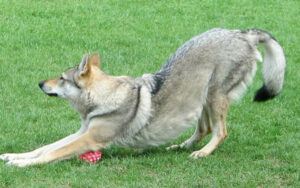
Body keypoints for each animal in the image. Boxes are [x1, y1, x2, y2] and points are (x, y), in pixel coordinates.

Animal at [0, 27, 286, 166]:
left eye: (61, 77)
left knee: (220, 132)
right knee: (203, 129)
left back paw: (202, 153)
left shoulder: (89, 139)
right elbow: (44, 148)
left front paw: (21, 166)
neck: (104, 99)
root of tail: (243, 33)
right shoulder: (82, 133)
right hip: (201, 99)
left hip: (215, 97)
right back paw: (181, 147)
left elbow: (50, 154)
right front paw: (13, 157)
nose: (40, 83)